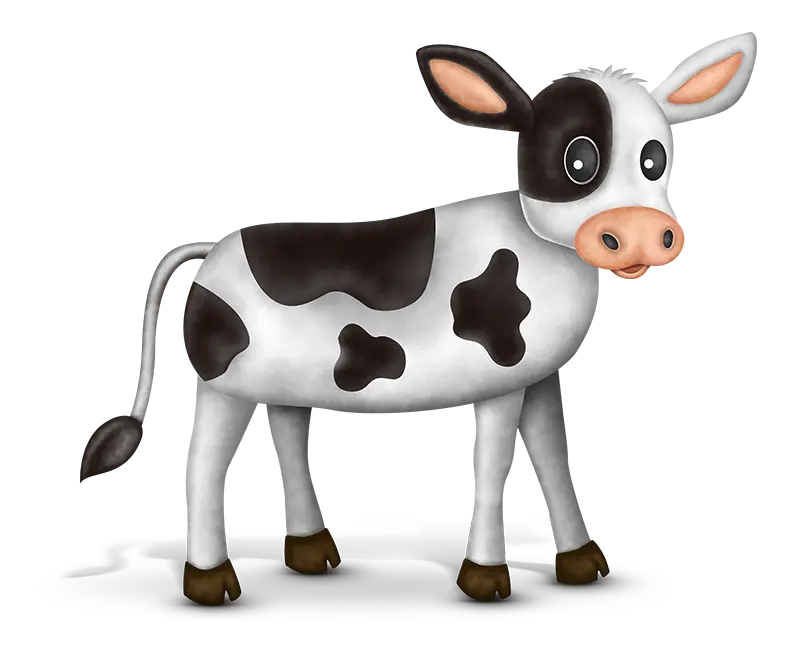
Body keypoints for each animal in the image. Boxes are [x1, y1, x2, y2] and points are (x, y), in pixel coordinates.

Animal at [79, 33, 757, 607]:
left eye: (654, 159)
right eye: (579, 159)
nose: (643, 234)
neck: (537, 250)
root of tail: (207, 250)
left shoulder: (539, 378)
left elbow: (552, 456)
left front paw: (586, 569)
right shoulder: (496, 377)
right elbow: (494, 466)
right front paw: (487, 585)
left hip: (283, 378)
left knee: (287, 434)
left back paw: (315, 558)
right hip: (217, 380)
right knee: (202, 456)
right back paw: (212, 587)